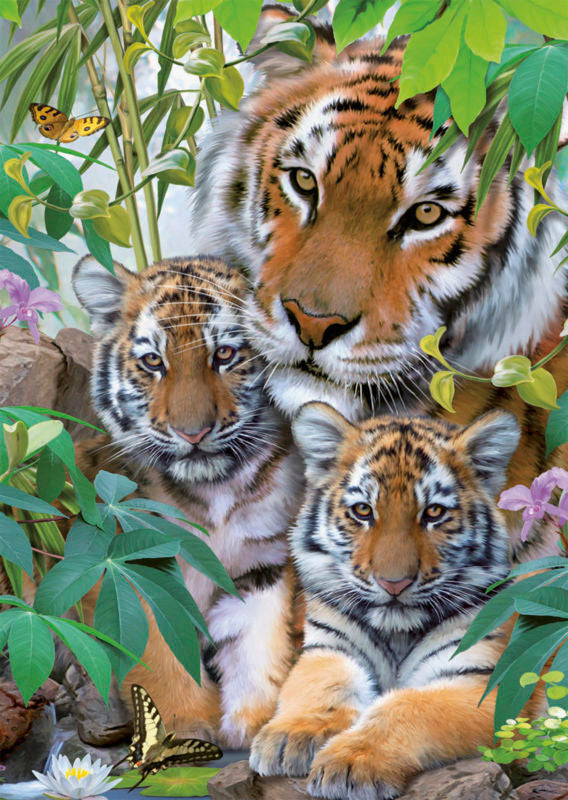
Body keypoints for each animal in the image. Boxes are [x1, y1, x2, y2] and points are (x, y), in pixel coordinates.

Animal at [71, 255, 304, 747]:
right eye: (153, 362)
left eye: (225, 355)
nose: (193, 433)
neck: (214, 491)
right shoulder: (135, 568)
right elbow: (159, 651)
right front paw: (186, 727)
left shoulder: (262, 563)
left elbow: (257, 641)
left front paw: (252, 720)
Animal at [250, 401, 545, 800]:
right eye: (363, 511)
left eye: (434, 512)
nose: (394, 583)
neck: (397, 632)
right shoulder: (328, 647)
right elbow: (322, 683)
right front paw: (290, 737)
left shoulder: (483, 683)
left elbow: (407, 706)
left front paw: (351, 763)